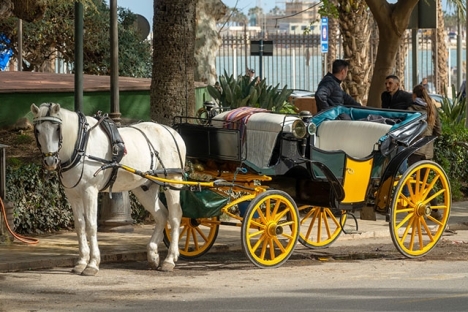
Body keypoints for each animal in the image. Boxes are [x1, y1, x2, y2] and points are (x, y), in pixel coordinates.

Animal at [29, 102, 186, 276]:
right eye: (37, 130)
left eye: (57, 128)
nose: (50, 161)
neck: (80, 145)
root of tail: (172, 132)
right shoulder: (72, 194)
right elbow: (80, 225)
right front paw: (81, 262)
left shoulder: (90, 191)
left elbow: (91, 225)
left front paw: (92, 264)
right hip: (144, 188)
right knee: (161, 215)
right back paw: (152, 254)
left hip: (172, 180)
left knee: (175, 216)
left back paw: (170, 259)